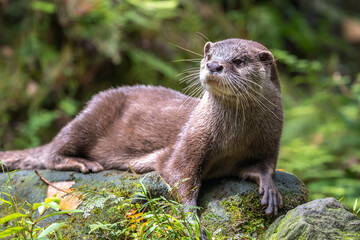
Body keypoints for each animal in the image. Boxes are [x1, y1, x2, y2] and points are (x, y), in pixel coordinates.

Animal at [0, 39, 284, 216]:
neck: (234, 137)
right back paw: (83, 163)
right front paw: (191, 218)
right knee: (52, 151)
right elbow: (178, 175)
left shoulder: (269, 143)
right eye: (208, 56)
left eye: (238, 60)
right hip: (93, 113)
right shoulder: (190, 141)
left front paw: (270, 188)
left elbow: (263, 168)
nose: (214, 65)